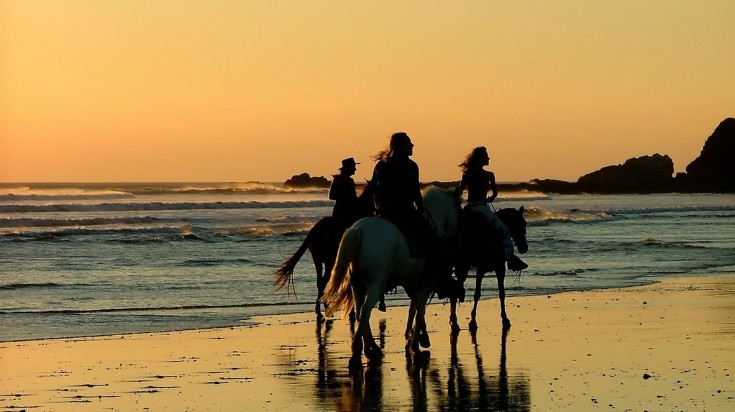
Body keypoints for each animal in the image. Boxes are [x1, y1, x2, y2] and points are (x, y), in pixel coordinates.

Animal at [274, 183, 374, 322]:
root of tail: (316, 229)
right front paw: (352, 311)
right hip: (329, 261)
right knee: (323, 281)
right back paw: (324, 307)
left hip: (318, 259)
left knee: (320, 282)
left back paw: (321, 308)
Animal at [322, 187, 460, 366]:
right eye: (460, 210)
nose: (458, 240)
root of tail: (359, 230)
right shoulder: (425, 285)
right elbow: (420, 312)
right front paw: (417, 347)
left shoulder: (412, 285)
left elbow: (414, 310)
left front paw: (417, 339)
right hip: (374, 284)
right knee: (365, 311)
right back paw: (359, 353)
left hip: (357, 285)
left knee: (359, 312)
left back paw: (368, 348)